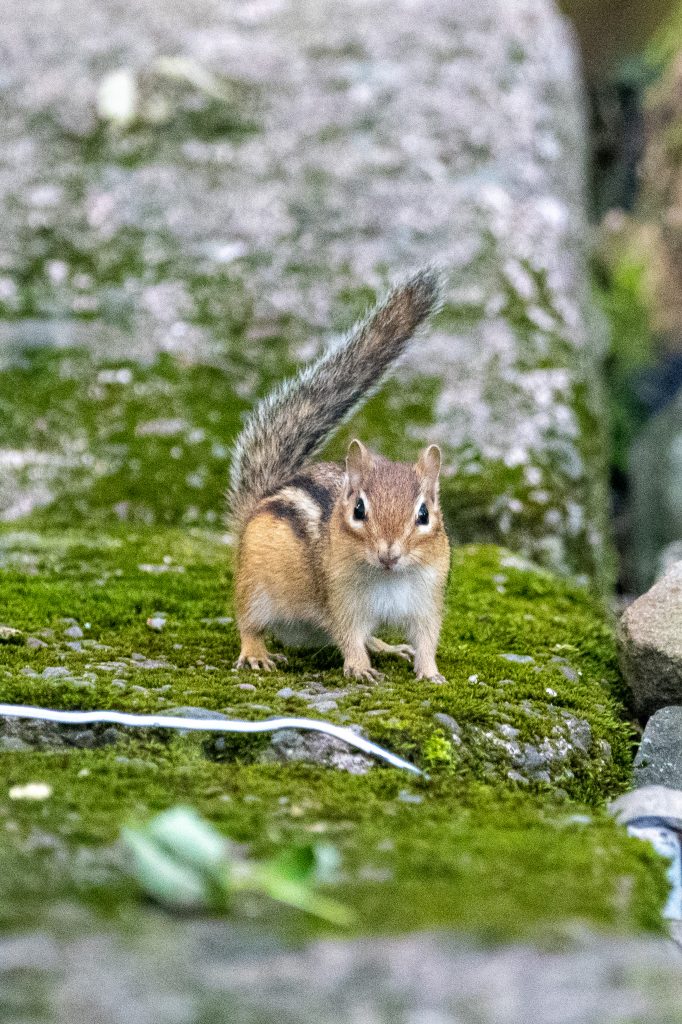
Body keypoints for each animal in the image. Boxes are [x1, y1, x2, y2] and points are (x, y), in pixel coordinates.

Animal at [228, 268, 449, 683]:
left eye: (424, 515)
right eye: (359, 510)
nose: (389, 553)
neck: (389, 578)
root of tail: (258, 503)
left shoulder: (426, 600)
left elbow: (426, 640)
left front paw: (429, 672)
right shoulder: (343, 599)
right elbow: (348, 636)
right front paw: (360, 669)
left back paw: (388, 646)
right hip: (254, 588)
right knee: (249, 623)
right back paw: (256, 654)